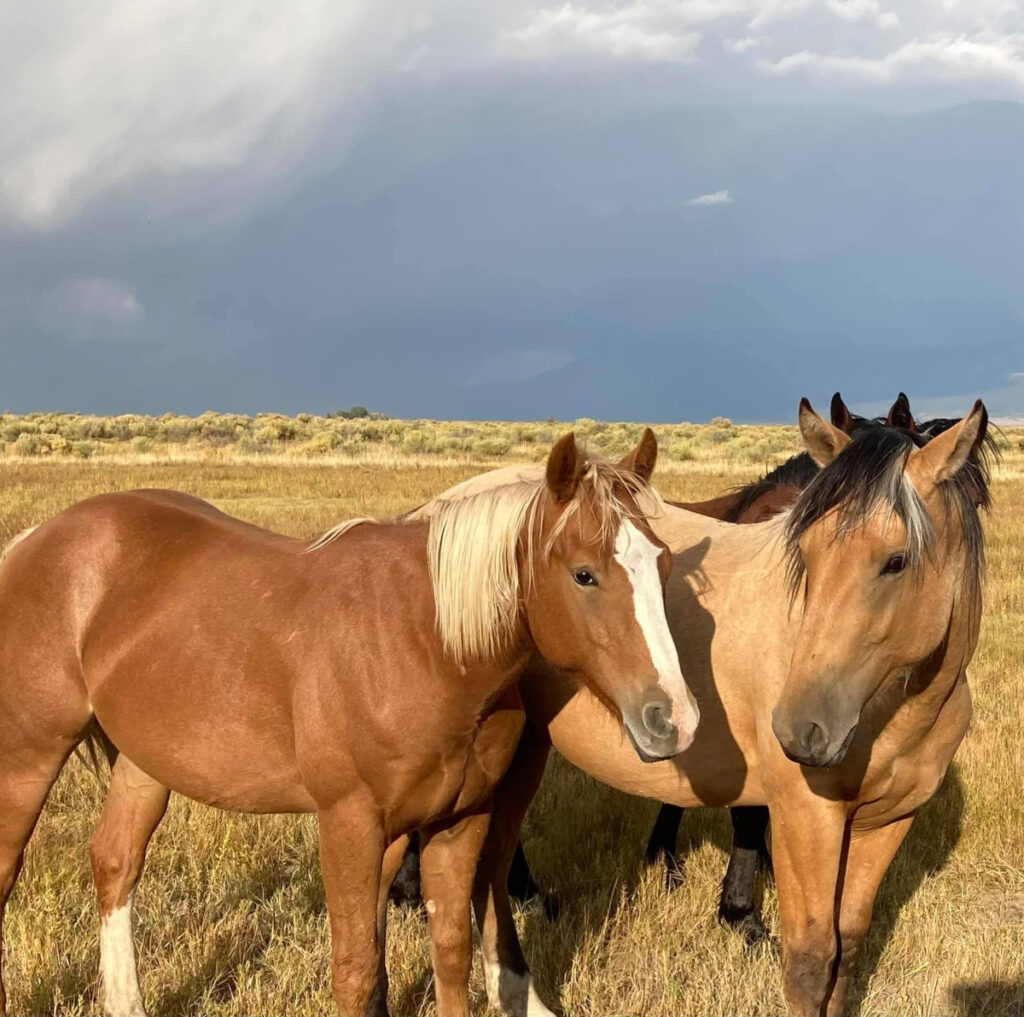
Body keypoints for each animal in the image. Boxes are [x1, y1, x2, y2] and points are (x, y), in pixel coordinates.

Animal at [0, 430, 700, 1015]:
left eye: (663, 563)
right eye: (584, 574)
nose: (675, 718)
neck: (423, 643)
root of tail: (37, 538)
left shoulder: (458, 822)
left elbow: (450, 954)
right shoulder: (349, 825)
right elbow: (358, 971)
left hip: (147, 761)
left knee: (116, 864)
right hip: (29, 757)